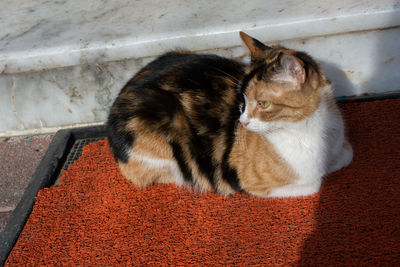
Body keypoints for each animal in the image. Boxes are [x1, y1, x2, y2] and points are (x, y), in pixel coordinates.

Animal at [107, 31, 354, 199]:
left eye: (263, 104)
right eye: (242, 101)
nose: (242, 122)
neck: (308, 127)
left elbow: (347, 154)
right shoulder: (251, 181)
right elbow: (314, 184)